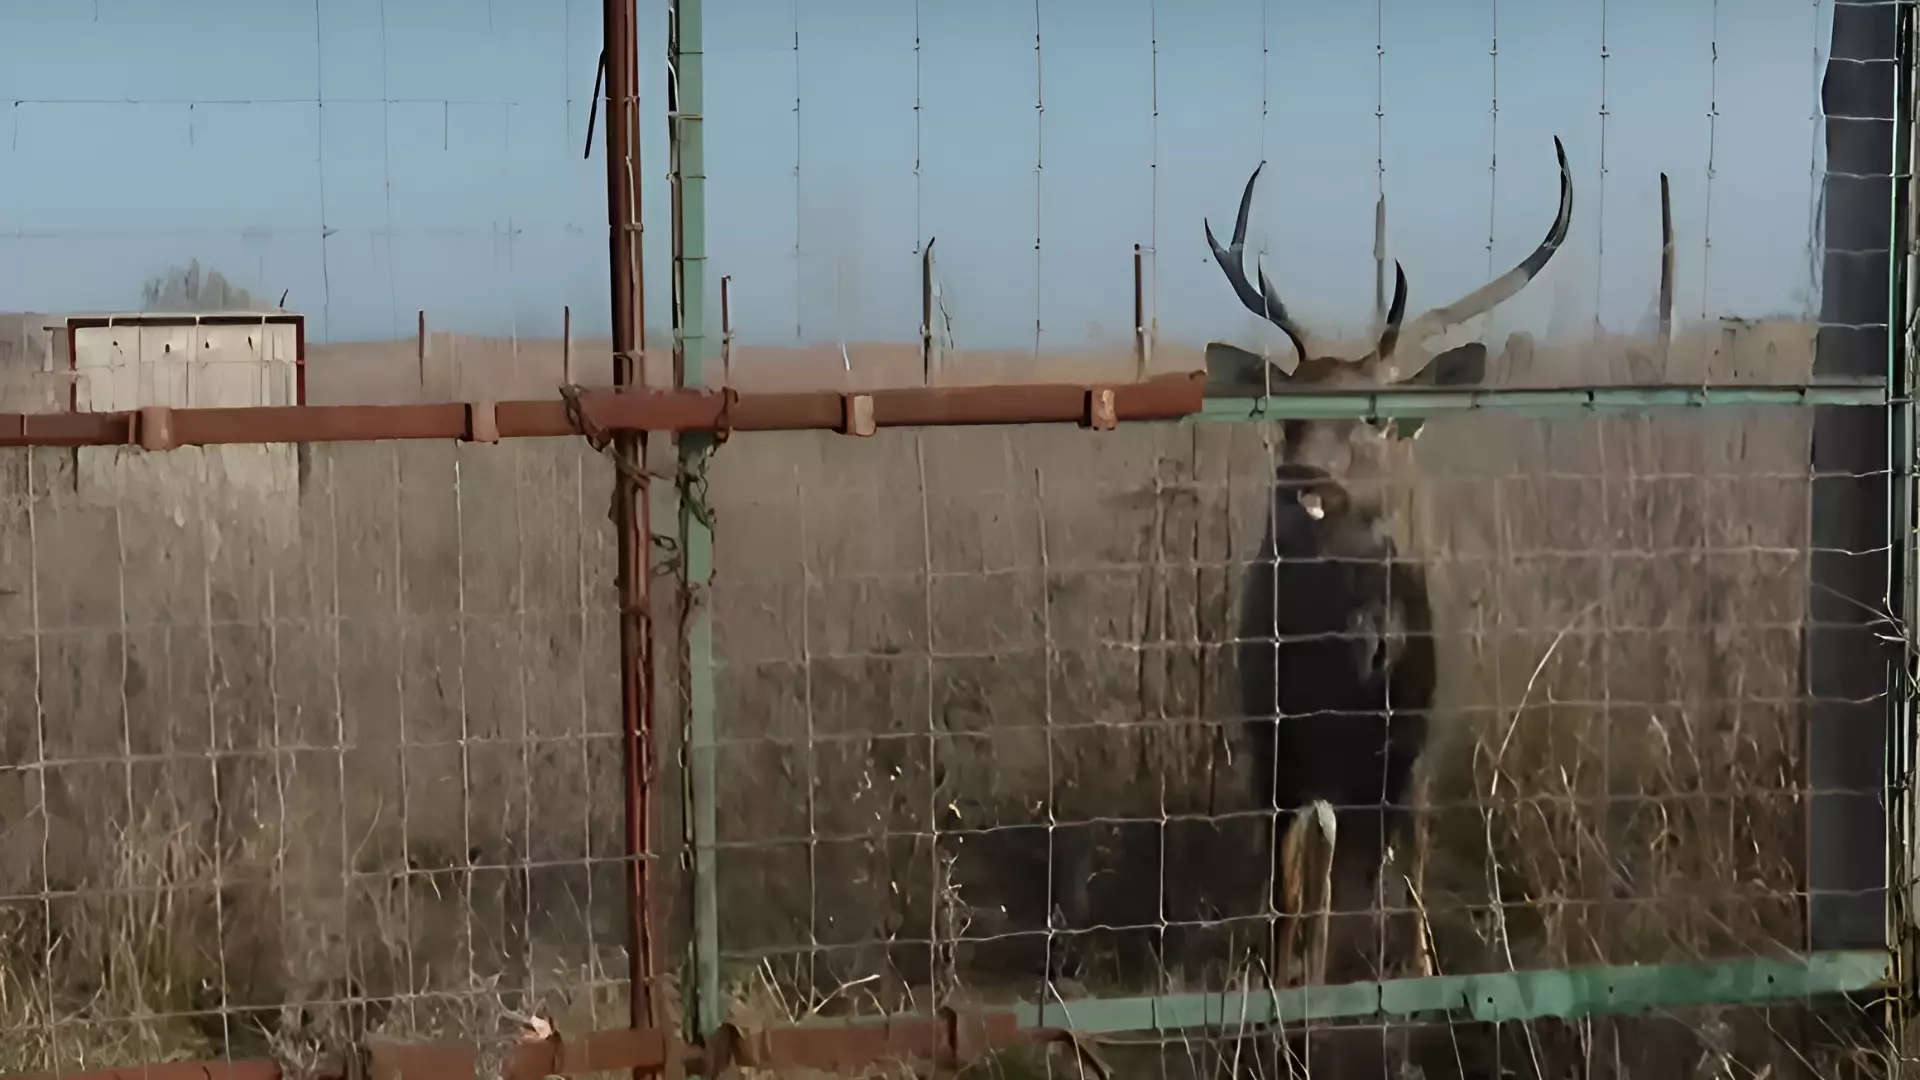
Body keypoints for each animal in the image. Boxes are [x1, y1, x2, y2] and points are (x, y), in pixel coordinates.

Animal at [1213, 132, 1574, 983]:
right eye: (1285, 412)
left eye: (1376, 415)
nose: (1303, 476)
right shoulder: (1272, 742)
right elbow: (1287, 888)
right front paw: (1287, 979)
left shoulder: (1413, 749)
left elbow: (1406, 878)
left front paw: (1419, 968)